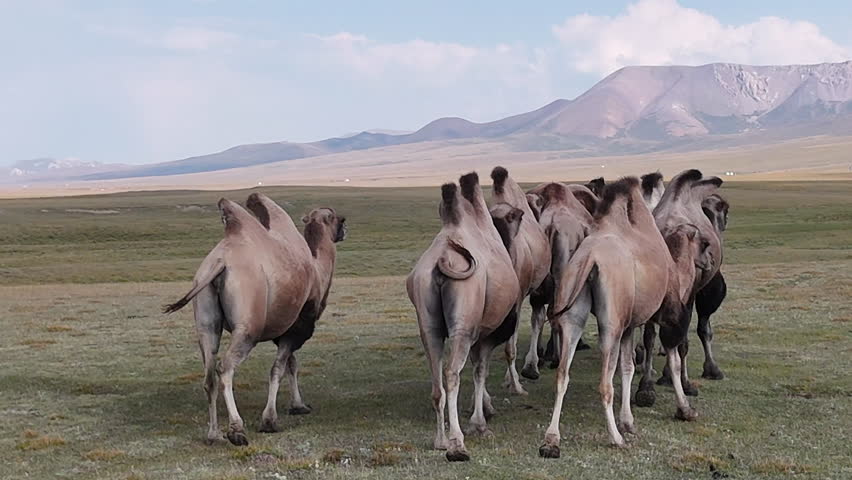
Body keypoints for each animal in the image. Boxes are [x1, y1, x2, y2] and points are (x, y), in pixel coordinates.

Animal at [163, 193, 346, 446]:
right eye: (337, 219)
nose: (344, 228)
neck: (317, 269)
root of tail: (220, 262)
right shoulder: (295, 329)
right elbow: (278, 369)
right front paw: (270, 420)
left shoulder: (283, 330)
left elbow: (291, 365)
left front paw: (298, 406)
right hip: (248, 325)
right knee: (225, 367)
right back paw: (236, 430)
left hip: (205, 318)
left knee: (209, 373)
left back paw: (214, 434)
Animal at [407, 172, 520, 462]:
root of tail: (442, 259)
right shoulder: (486, 334)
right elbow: (480, 371)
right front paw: (480, 423)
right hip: (463, 322)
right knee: (451, 373)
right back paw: (457, 442)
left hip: (429, 324)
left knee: (436, 380)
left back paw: (440, 441)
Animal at [538, 177, 674, 456]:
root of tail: (590, 258)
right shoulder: (630, 323)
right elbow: (628, 367)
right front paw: (628, 423)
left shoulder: (628, 325)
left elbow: (627, 366)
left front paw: (628, 420)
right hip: (611, 325)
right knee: (605, 383)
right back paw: (615, 437)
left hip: (573, 310)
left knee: (562, 373)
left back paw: (551, 438)